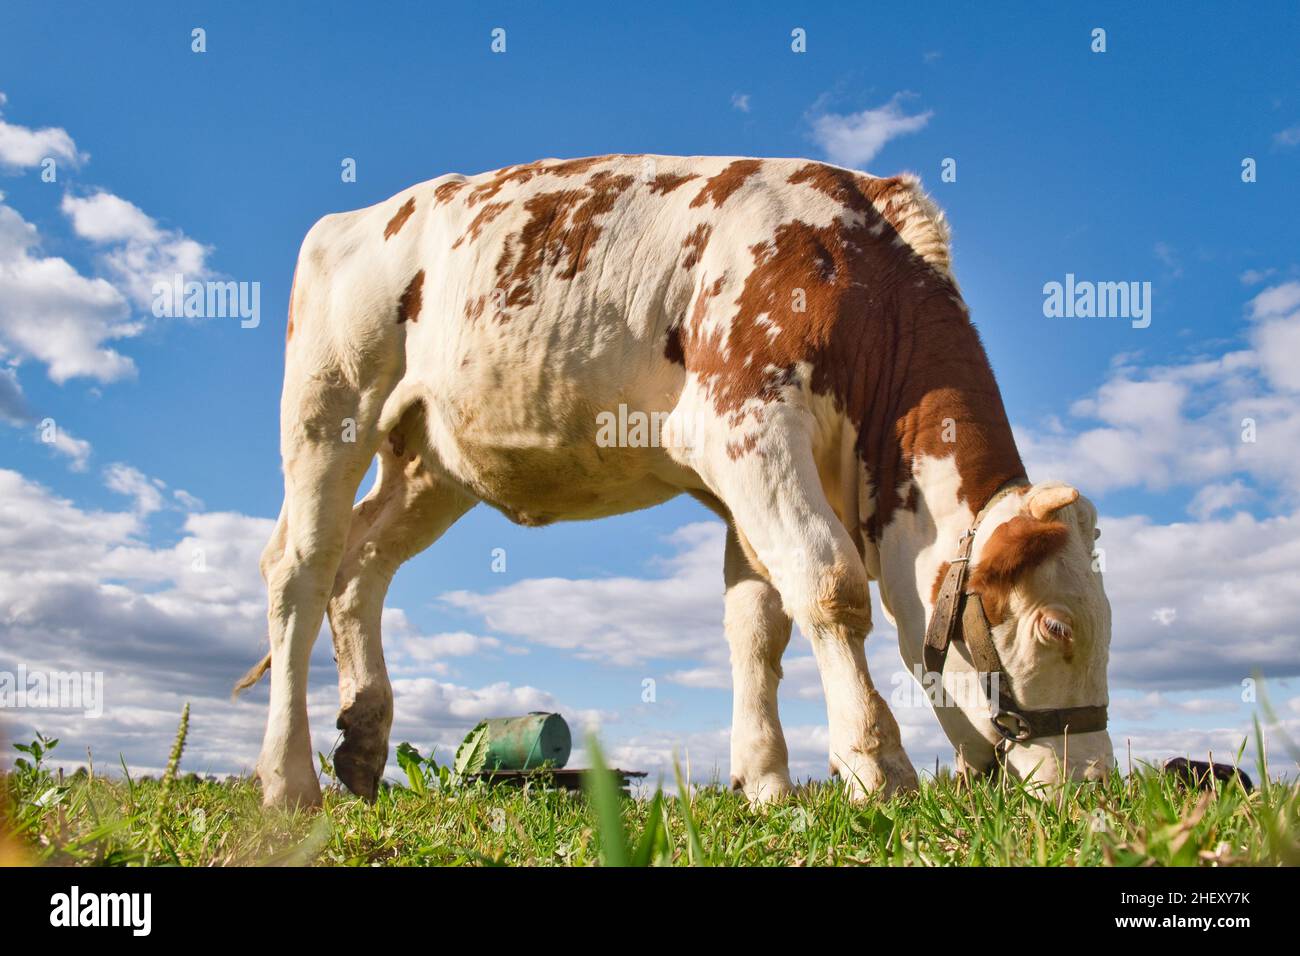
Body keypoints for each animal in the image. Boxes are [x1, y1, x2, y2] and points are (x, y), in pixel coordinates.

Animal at [236, 154, 1115, 808]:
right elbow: (828, 584)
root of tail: (356, 217)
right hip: (328, 408)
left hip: (431, 462)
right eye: (1056, 628)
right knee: (300, 571)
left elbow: (757, 625)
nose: (1095, 785)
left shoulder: (746, 477)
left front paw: (766, 784)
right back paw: (288, 782)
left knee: (361, 570)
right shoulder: (746, 423)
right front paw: (878, 765)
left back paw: (362, 745)